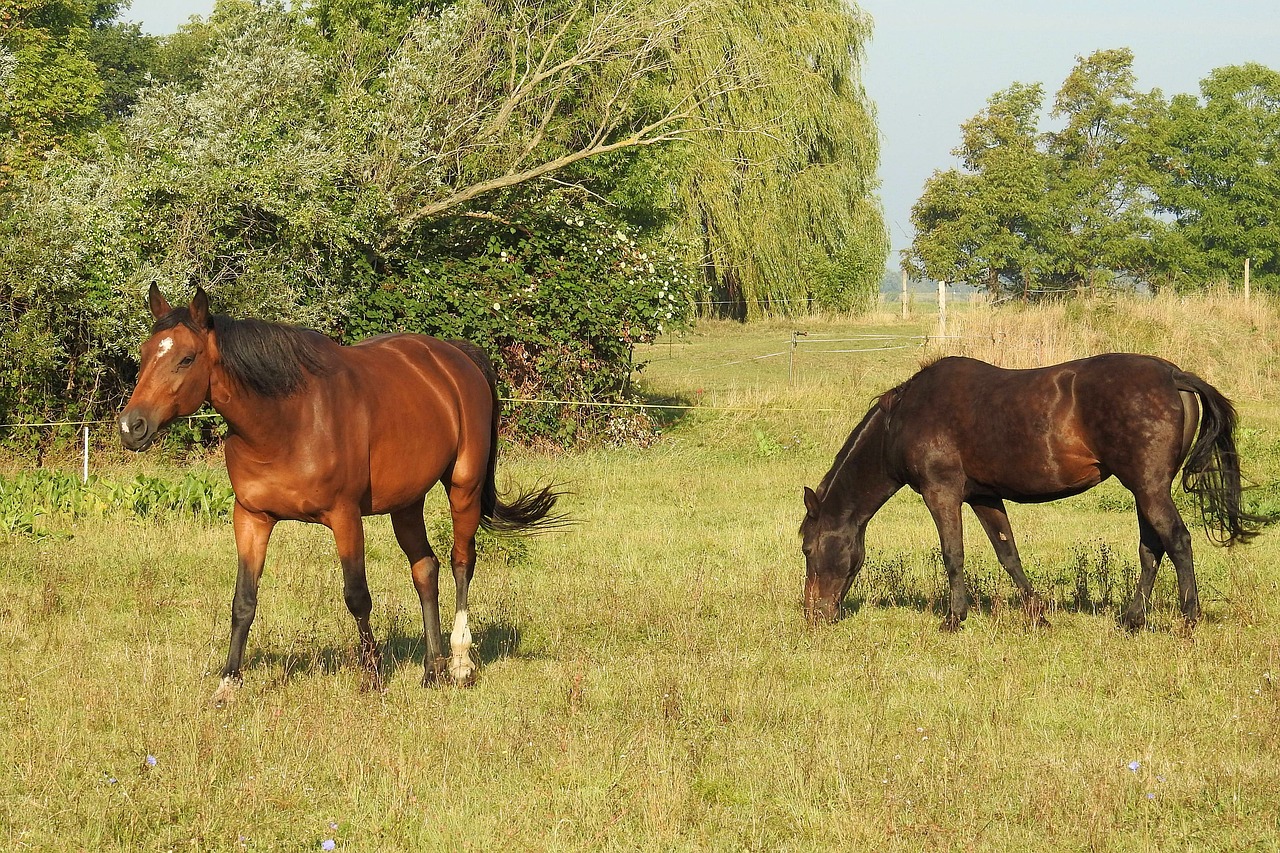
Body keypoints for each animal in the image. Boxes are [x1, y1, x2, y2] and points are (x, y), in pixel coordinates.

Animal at [120, 285, 560, 696]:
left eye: (186, 358)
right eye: (145, 353)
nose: (131, 426)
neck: (284, 421)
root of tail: (457, 357)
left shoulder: (345, 516)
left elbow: (357, 596)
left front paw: (373, 677)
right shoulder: (251, 517)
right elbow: (243, 600)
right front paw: (229, 683)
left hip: (463, 487)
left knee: (461, 563)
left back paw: (459, 662)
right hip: (406, 503)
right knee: (425, 569)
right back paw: (431, 669)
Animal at [798, 350, 1259, 630]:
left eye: (808, 547)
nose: (814, 614)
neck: (903, 419)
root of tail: (1172, 374)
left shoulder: (941, 492)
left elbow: (953, 554)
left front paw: (954, 618)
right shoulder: (983, 496)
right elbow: (1008, 553)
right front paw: (1038, 613)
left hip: (1148, 487)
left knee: (1176, 541)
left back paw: (1188, 619)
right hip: (1144, 490)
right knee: (1152, 548)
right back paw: (1132, 619)